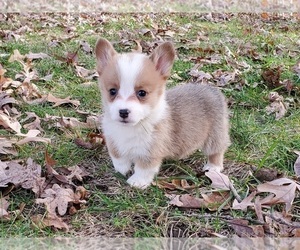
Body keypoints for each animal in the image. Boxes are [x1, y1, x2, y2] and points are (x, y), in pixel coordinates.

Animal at [95, 38, 231, 188]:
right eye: (112, 91)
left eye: (142, 93)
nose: (123, 112)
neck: (131, 128)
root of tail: (212, 90)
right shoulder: (114, 142)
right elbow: (119, 160)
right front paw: (122, 171)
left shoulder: (150, 151)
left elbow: (144, 168)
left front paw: (137, 182)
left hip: (215, 134)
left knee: (217, 150)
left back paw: (213, 167)